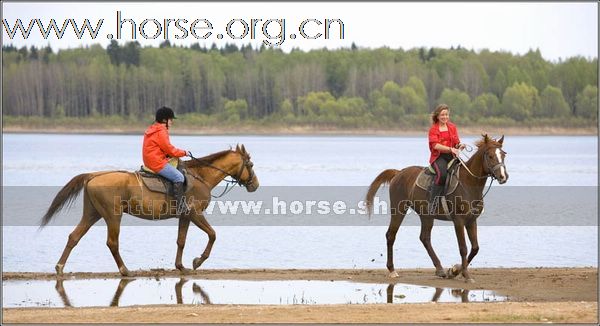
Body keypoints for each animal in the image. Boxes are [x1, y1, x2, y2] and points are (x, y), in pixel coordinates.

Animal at [40, 145, 258, 276]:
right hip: (112, 216)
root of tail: (93, 176)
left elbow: (181, 241)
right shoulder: (195, 214)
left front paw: (181, 266)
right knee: (112, 243)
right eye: (250, 164)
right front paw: (198, 260)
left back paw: (60, 267)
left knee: (74, 237)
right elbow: (213, 234)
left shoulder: (185, 216)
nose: (255, 185)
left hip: (92, 214)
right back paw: (125, 270)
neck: (199, 176)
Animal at [364, 135, 508, 282]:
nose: (503, 177)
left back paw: (439, 269)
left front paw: (455, 271)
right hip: (399, 210)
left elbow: (475, 248)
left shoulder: (471, 220)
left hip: (426, 216)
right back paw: (392, 270)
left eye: (503, 155)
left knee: (424, 238)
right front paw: (466, 275)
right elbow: (463, 248)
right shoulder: (459, 221)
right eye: (490, 156)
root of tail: (399, 172)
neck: (468, 184)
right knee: (391, 235)